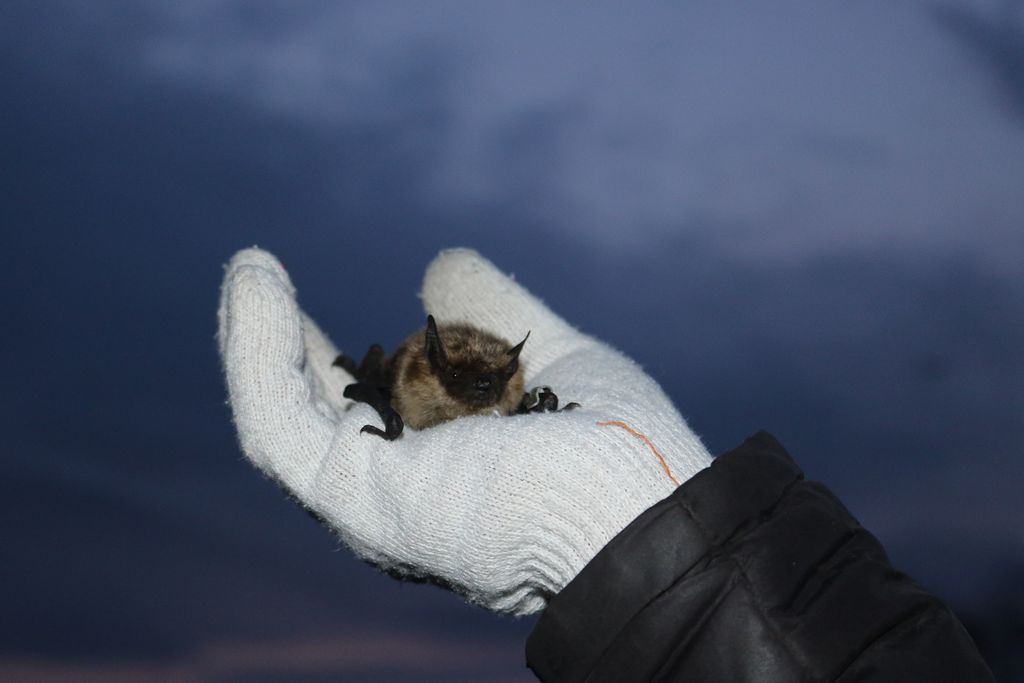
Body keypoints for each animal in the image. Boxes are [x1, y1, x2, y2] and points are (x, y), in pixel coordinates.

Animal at [334, 315, 578, 440]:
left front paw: (551, 404)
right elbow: (395, 420)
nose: (484, 383)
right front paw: (381, 433)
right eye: (454, 373)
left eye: (500, 377)